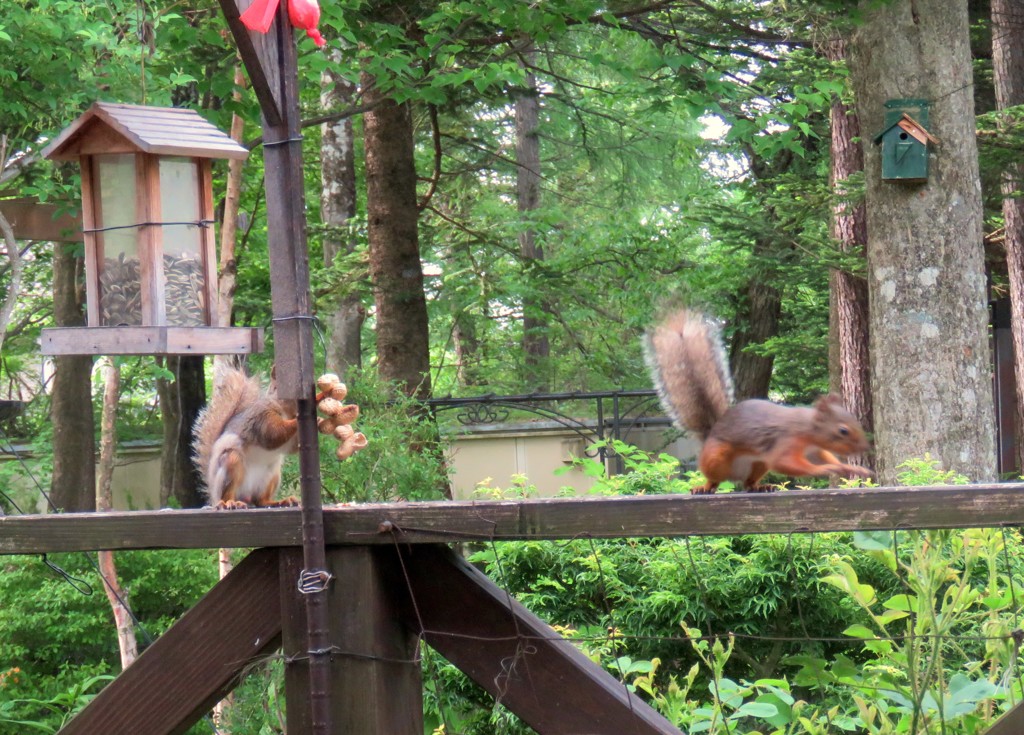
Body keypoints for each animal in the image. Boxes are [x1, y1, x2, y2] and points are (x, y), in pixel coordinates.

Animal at [643, 307, 868, 497]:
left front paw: (848, 467)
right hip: (715, 458)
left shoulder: (814, 449)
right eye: (843, 430)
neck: (807, 429)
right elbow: (784, 462)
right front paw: (827, 468)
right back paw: (704, 487)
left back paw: (761, 486)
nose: (864, 448)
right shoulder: (786, 441)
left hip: (758, 464)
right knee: (715, 479)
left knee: (748, 482)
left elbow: (824, 456)